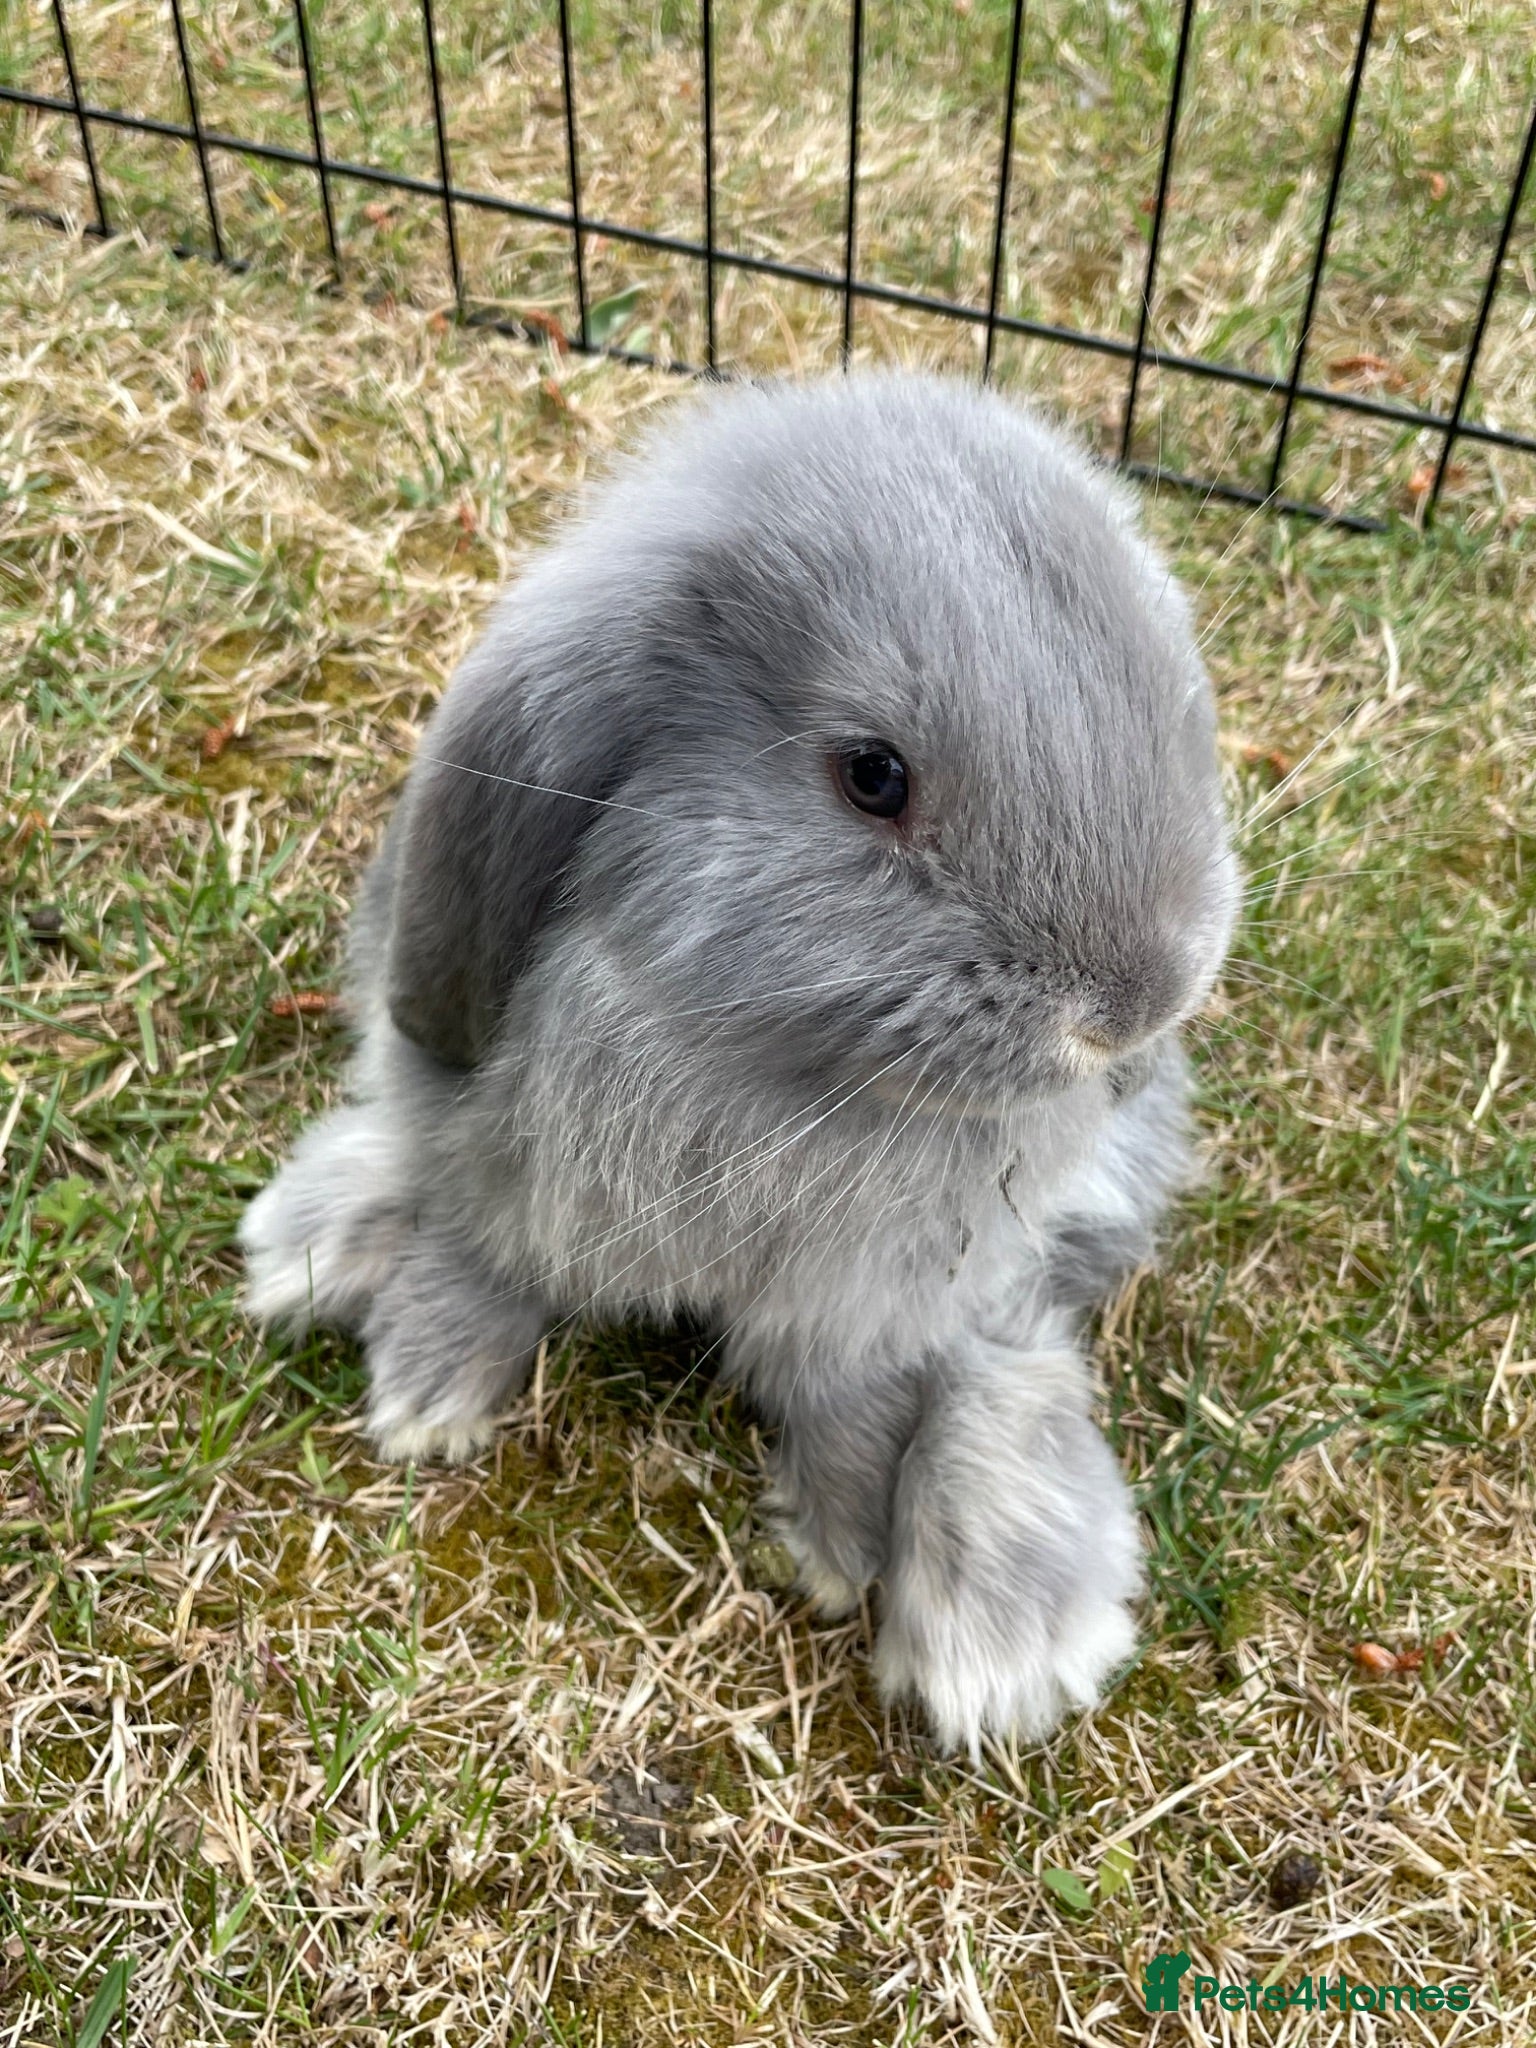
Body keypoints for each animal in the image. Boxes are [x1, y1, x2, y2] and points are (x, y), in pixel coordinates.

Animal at [241, 371, 1238, 1753]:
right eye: (872, 775)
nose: (1134, 1015)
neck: (781, 1079)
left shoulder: (864, 1299)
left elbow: (860, 1395)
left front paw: (836, 1551)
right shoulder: (516, 1163)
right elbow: (483, 1243)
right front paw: (425, 1403)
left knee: (1010, 1344)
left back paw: (999, 1637)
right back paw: (318, 1245)